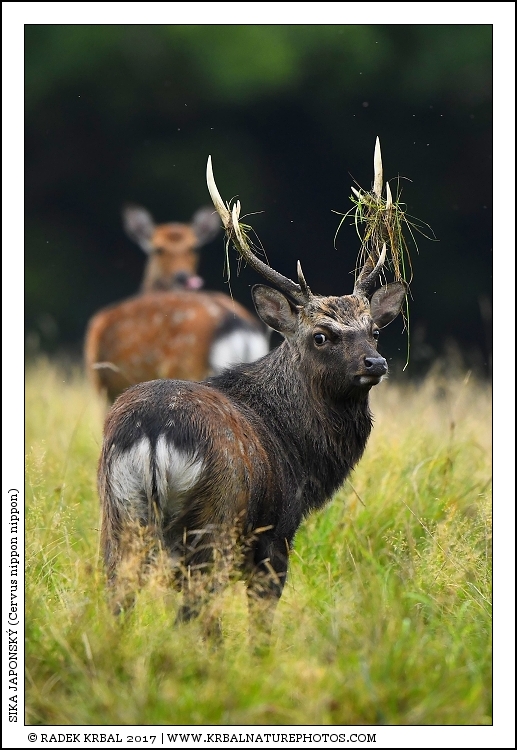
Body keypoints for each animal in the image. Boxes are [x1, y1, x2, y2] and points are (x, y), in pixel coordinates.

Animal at [85, 204, 269, 403]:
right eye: (159, 249)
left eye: (192, 248)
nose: (182, 277)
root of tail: (238, 326)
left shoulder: (102, 386)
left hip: (186, 365)